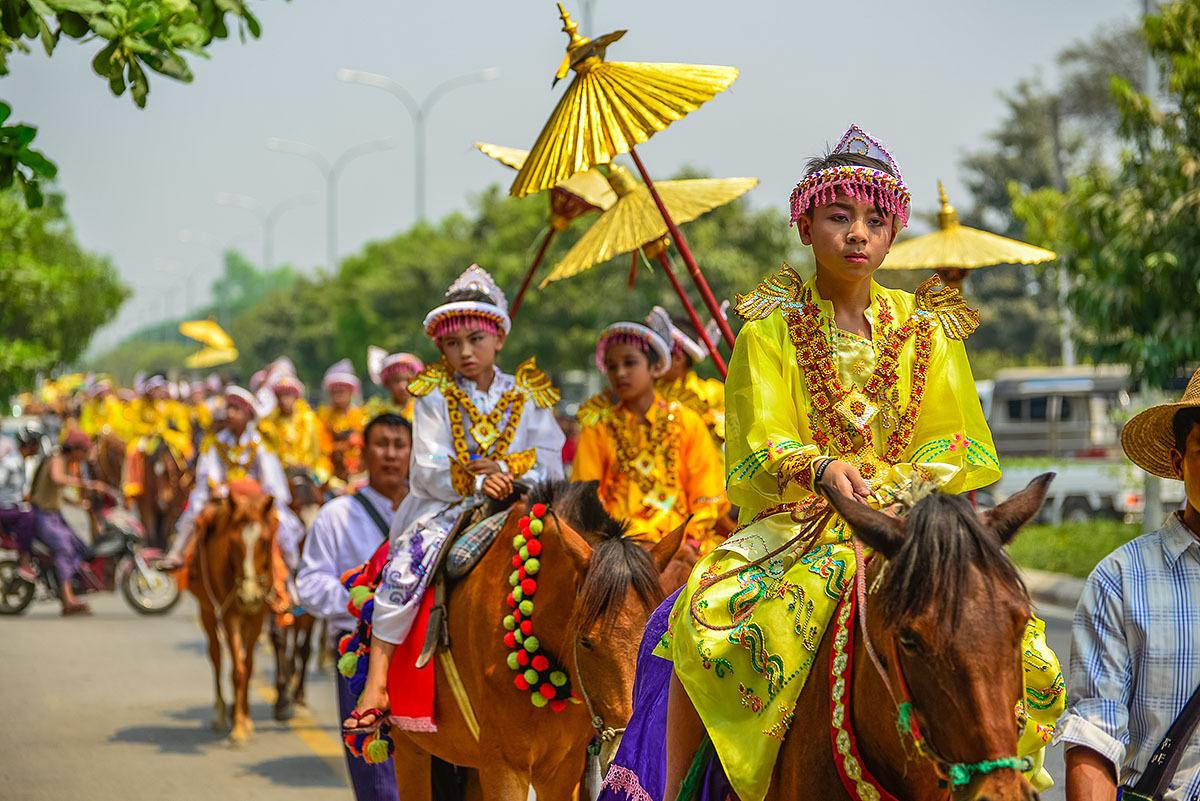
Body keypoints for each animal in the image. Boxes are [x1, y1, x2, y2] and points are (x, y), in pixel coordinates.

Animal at [188, 474, 279, 743]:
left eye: (265, 541)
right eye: (234, 543)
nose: (248, 596)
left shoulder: (258, 615)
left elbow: (247, 667)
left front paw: (246, 719)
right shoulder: (230, 615)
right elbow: (237, 669)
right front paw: (238, 728)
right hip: (207, 611)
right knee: (217, 656)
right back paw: (220, 713)